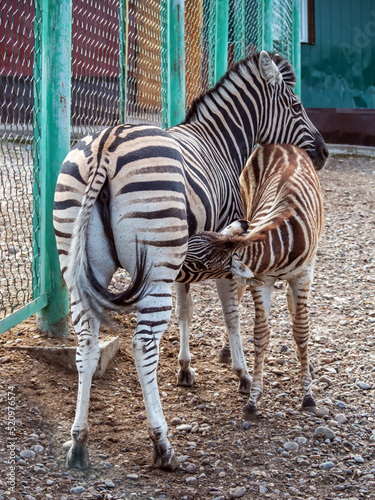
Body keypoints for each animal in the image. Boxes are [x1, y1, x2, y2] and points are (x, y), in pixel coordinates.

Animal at [187, 145, 324, 418]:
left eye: (199, 264)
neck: (283, 242)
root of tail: (281, 145)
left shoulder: (303, 277)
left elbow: (301, 330)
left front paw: (308, 394)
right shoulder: (261, 281)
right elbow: (261, 334)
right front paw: (253, 399)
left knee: (293, 310)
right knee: (237, 300)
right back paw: (226, 351)